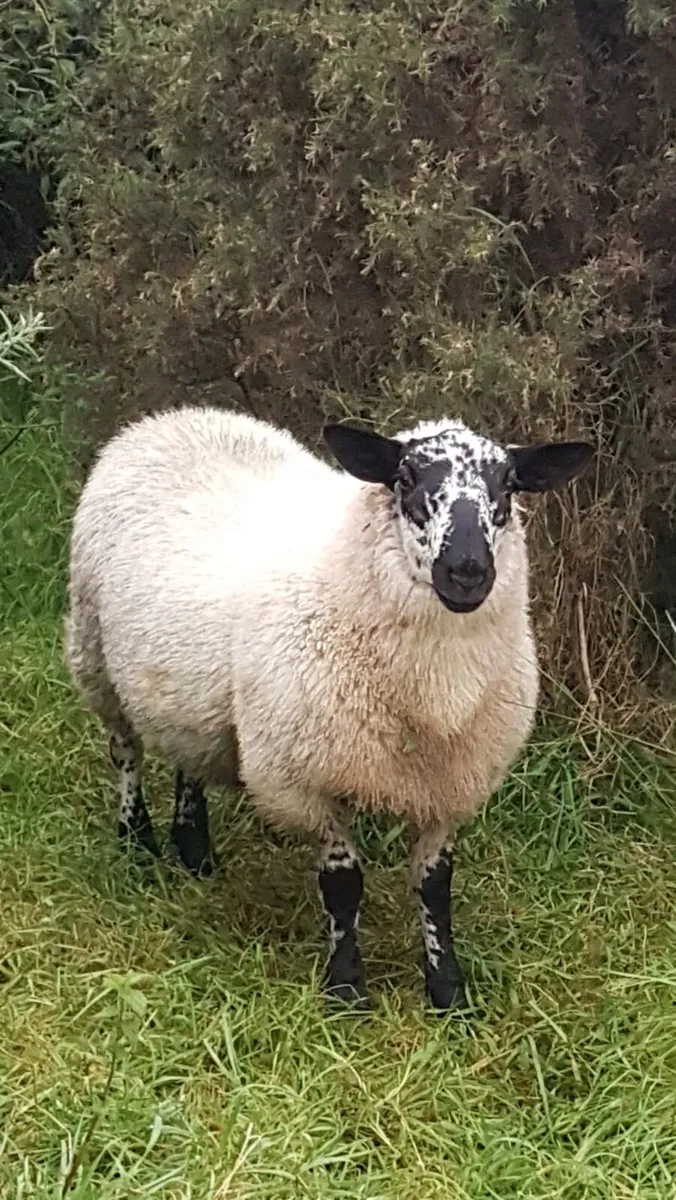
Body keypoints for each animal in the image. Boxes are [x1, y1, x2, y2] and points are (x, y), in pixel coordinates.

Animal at [64, 405, 593, 1012]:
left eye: (508, 484)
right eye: (405, 479)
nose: (466, 570)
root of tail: (171, 418)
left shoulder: (451, 781)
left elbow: (435, 885)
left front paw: (449, 989)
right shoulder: (305, 779)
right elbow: (343, 885)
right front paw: (345, 987)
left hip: (185, 686)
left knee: (186, 753)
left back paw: (194, 849)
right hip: (93, 651)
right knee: (125, 750)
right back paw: (136, 840)